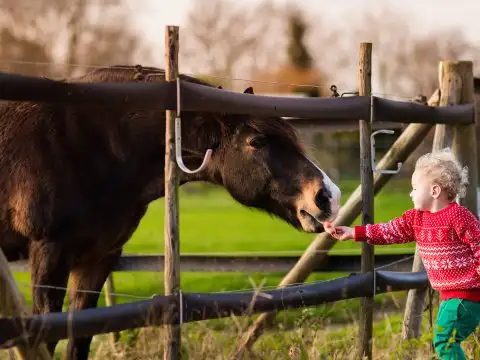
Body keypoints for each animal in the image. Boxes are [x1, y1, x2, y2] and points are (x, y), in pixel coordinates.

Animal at [0, 65, 342, 360]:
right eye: (256, 141)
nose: (327, 196)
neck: (91, 144)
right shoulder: (50, 253)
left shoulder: (98, 258)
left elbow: (81, 335)